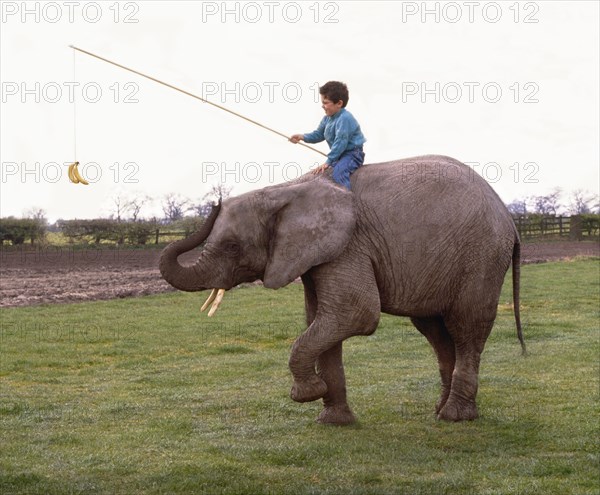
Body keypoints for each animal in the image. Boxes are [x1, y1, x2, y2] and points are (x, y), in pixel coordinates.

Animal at [161, 155, 524, 426]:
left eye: (233, 247)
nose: (215, 199)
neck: (285, 190)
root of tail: (509, 217)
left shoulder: (348, 246)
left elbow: (353, 314)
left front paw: (307, 393)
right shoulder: (316, 253)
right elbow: (319, 321)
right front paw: (333, 420)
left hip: (482, 257)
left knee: (466, 329)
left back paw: (455, 417)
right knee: (436, 332)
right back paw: (441, 410)